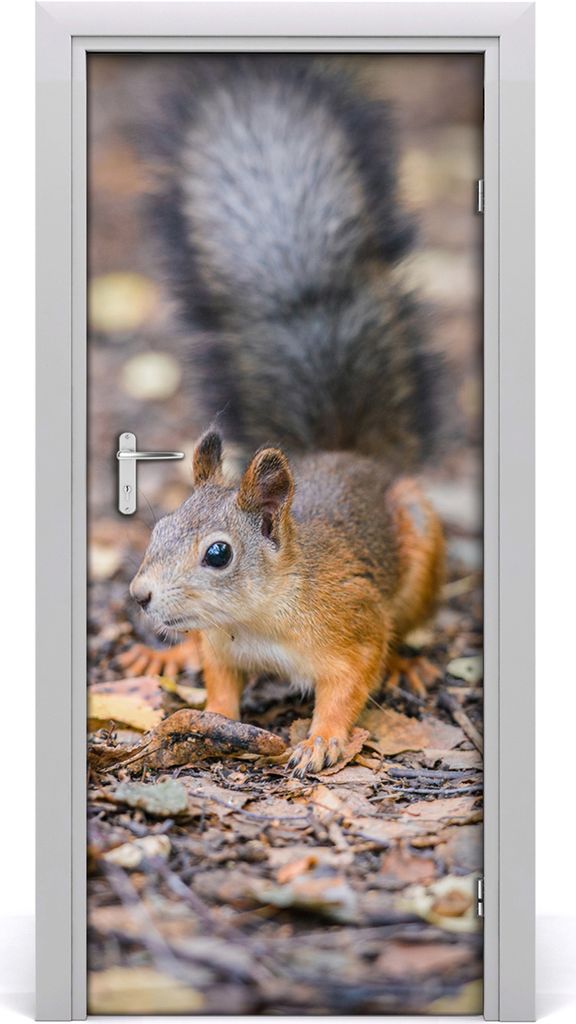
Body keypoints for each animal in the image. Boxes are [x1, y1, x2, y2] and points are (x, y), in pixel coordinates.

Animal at [125, 57, 446, 775]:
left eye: (219, 554)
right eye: (157, 528)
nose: (139, 596)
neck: (259, 615)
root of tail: (349, 455)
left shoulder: (352, 622)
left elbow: (352, 680)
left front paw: (323, 738)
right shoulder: (222, 644)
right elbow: (219, 682)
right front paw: (210, 713)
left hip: (422, 541)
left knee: (405, 628)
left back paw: (409, 663)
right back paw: (165, 652)